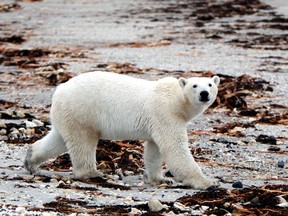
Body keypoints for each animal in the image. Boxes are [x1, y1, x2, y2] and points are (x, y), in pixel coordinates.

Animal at [24, 71, 220, 189]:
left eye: (210, 84)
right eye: (195, 85)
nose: (204, 94)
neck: (175, 100)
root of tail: (59, 89)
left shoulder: (158, 122)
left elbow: (154, 150)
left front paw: (161, 178)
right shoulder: (165, 114)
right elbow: (175, 148)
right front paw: (206, 182)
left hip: (68, 115)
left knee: (58, 139)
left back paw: (30, 161)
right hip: (83, 111)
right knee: (83, 142)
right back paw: (93, 173)